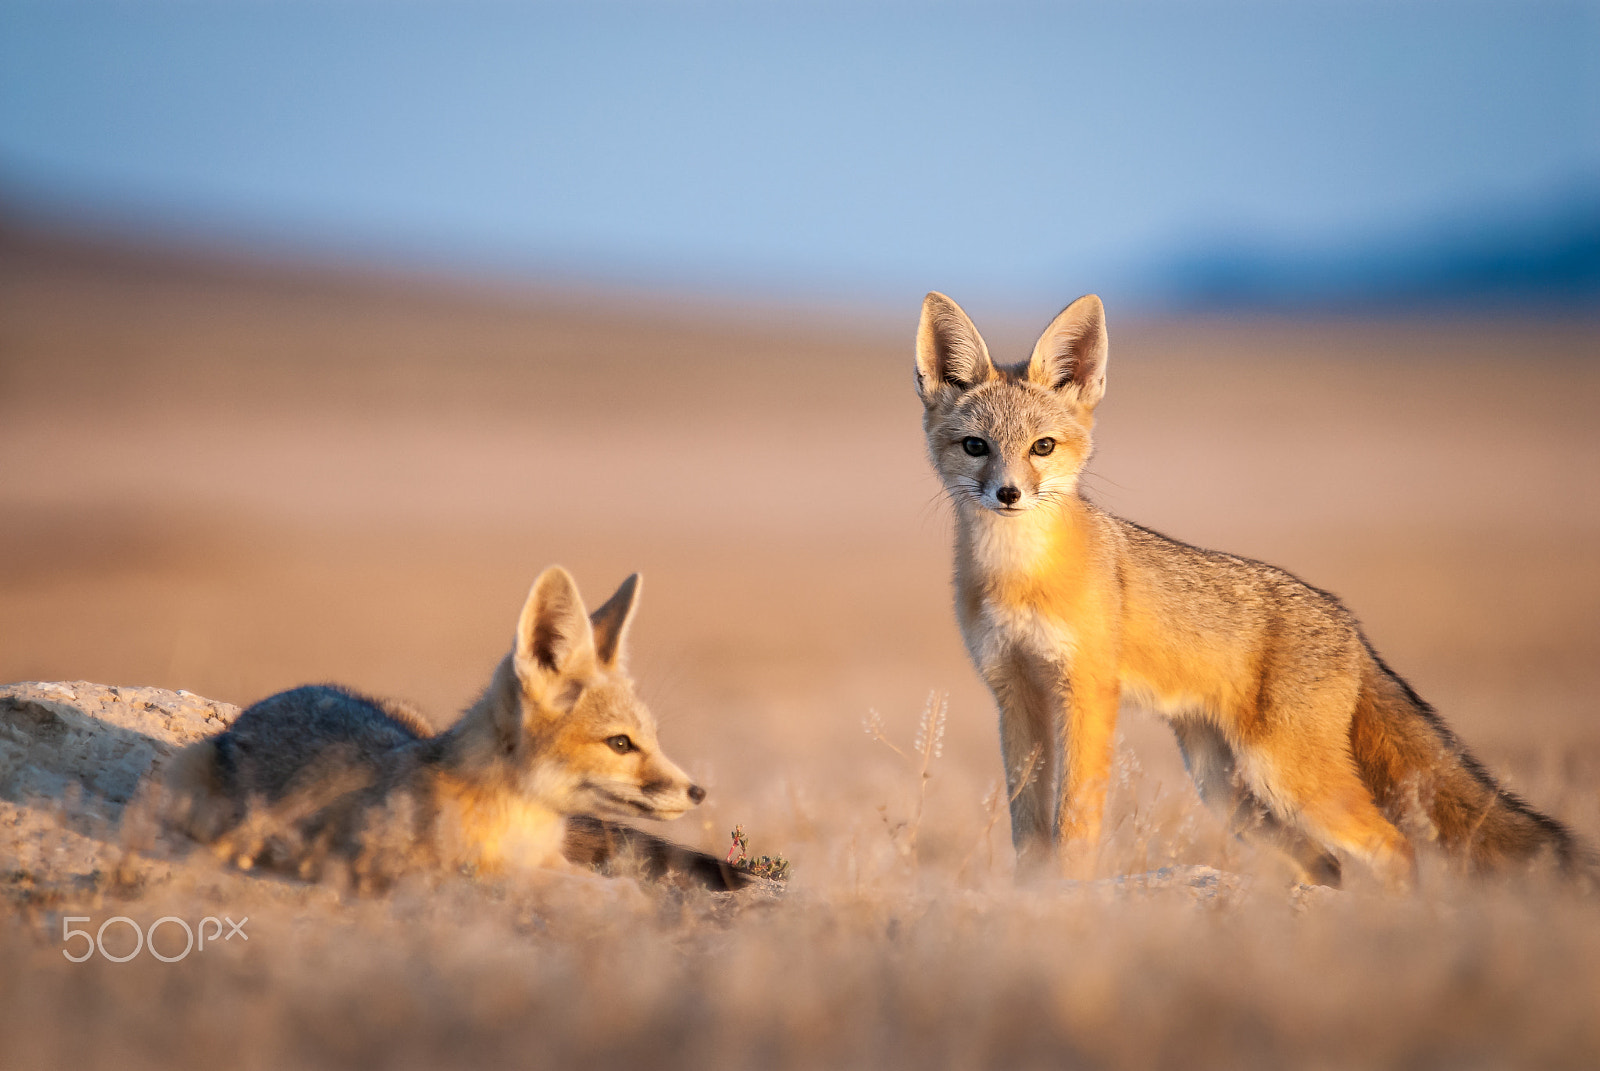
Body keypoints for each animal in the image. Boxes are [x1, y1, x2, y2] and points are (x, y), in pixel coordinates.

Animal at [160, 567, 746, 890]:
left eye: (653, 738)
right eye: (620, 744)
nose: (698, 792)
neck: (521, 820)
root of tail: (267, 702)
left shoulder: (551, 857)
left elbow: (603, 884)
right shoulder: (409, 870)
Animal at [914, 291, 1588, 890]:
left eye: (1043, 447)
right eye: (976, 447)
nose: (1008, 494)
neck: (1019, 577)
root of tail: (1350, 624)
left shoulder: (1086, 693)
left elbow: (1075, 822)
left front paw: (1069, 898)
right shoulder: (1015, 695)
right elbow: (1027, 825)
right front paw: (1031, 895)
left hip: (1284, 775)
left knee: (1393, 848)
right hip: (1227, 789)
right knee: (1329, 864)